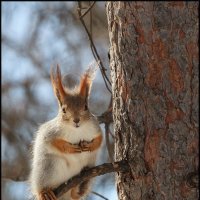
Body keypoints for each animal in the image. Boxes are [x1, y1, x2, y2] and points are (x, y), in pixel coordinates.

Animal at [29, 64, 103, 200]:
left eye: (85, 107)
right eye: (63, 110)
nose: (76, 120)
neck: (77, 130)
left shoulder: (95, 127)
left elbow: (100, 139)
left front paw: (91, 145)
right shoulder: (51, 132)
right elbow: (52, 142)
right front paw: (69, 148)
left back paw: (76, 188)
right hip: (48, 167)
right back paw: (44, 192)